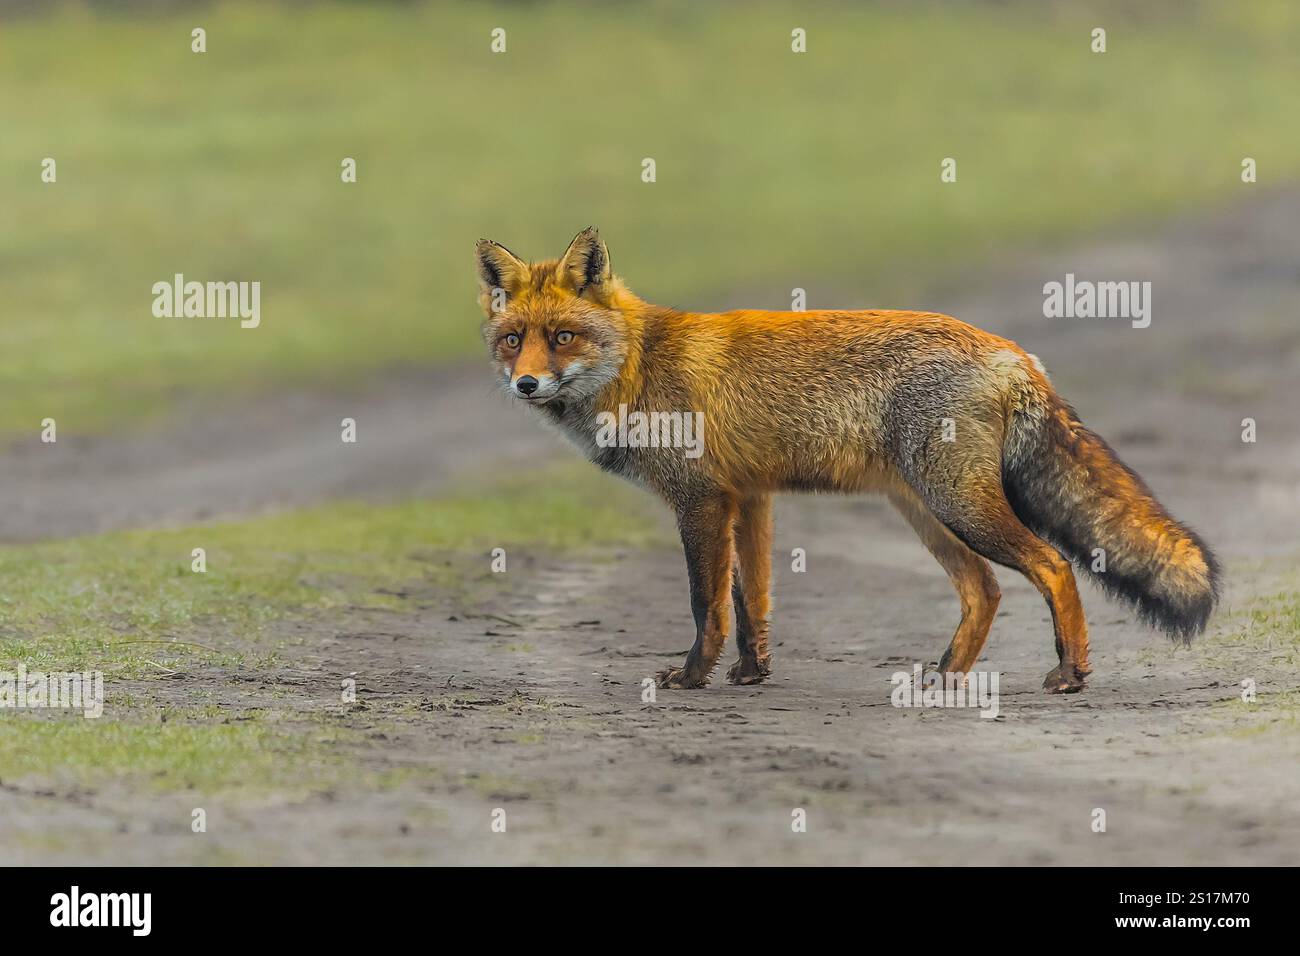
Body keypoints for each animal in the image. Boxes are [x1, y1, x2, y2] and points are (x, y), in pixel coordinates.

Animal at [476, 227, 1220, 693]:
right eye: (513, 340)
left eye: (563, 337)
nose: (526, 385)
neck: (638, 366)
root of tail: (1012, 352)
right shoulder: (749, 498)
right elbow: (752, 601)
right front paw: (752, 674)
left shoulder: (701, 499)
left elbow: (705, 604)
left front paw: (691, 678)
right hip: (926, 512)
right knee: (984, 589)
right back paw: (946, 677)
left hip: (957, 505)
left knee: (1054, 566)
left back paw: (1069, 675)